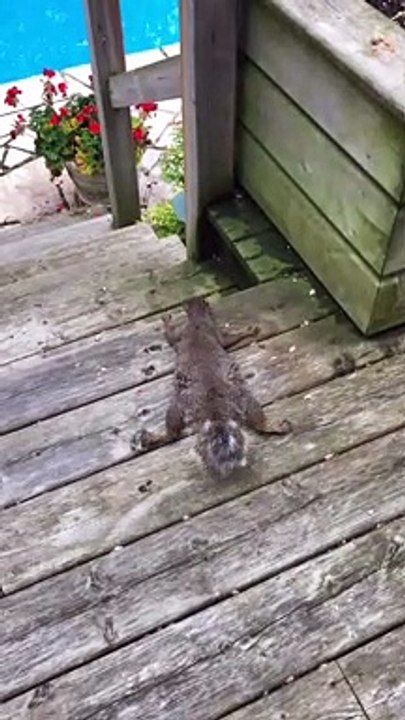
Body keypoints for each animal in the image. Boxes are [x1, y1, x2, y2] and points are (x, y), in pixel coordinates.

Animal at [162, 296, 275, 478]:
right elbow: (172, 336)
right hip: (235, 398)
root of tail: (214, 406)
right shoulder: (209, 333)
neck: (197, 320)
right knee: (171, 433)